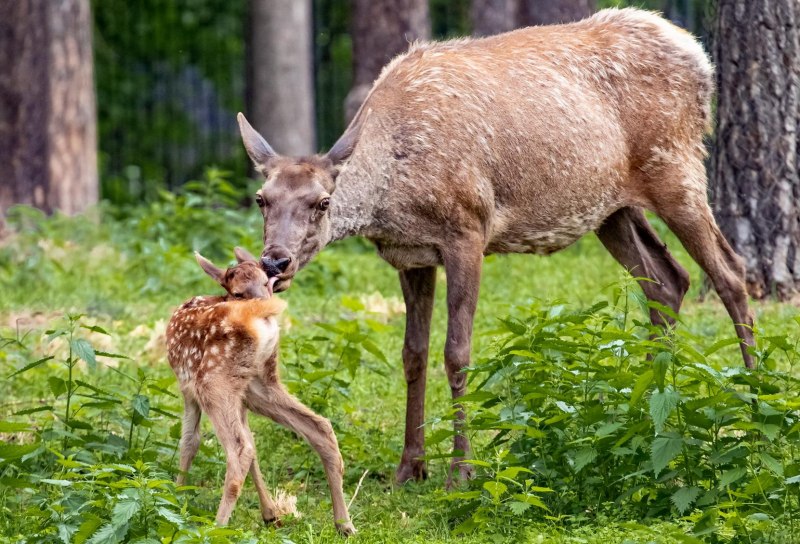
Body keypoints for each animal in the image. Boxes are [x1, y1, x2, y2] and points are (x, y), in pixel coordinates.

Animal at [166, 248, 356, 536]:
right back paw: (345, 525)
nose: (265, 303)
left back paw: (216, 528)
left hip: (212, 382)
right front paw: (271, 514)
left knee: (239, 449)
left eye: (267, 283)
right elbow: (254, 445)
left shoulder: (188, 388)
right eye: (237, 292)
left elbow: (190, 441)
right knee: (319, 427)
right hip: (261, 383)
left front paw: (176, 497)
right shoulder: (241, 396)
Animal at [235, 8, 756, 487]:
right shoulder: (410, 255)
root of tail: (698, 54)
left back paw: (752, 401)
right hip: (611, 209)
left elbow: (457, 353)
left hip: (677, 167)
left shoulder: (467, 232)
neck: (394, 194)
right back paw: (642, 409)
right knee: (668, 279)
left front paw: (461, 473)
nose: (275, 261)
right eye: (262, 199)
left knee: (731, 273)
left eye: (322, 202)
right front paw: (409, 468)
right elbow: (413, 354)